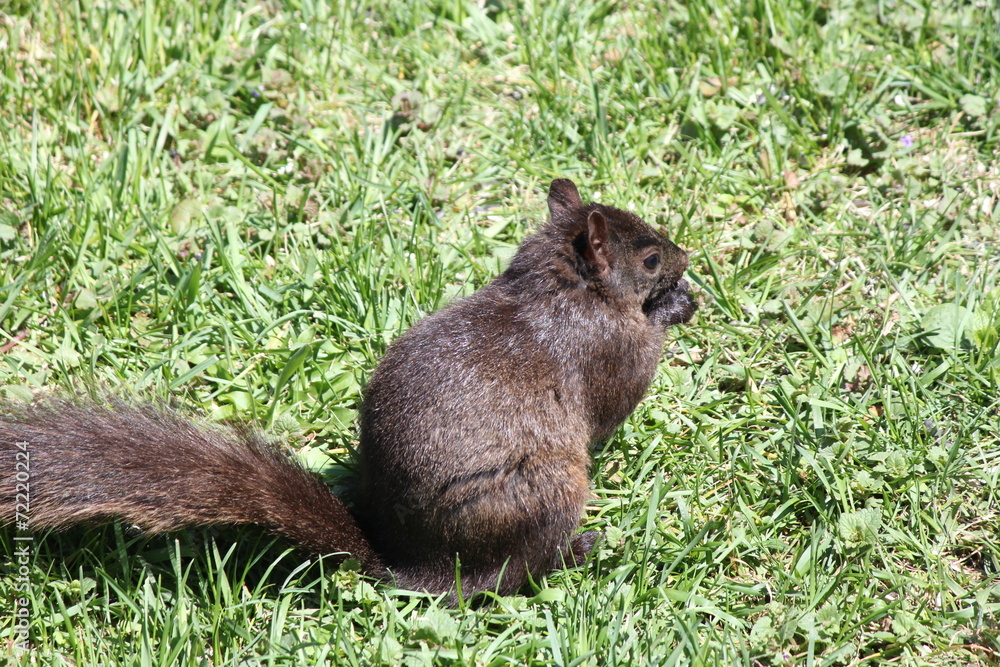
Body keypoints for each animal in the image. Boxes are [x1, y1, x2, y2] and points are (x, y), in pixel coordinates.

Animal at [0, 179, 697, 597]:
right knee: (516, 573)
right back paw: (581, 549)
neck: (559, 287)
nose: (687, 258)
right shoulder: (604, 351)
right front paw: (674, 308)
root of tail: (418, 567)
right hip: (548, 491)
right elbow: (619, 396)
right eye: (650, 257)